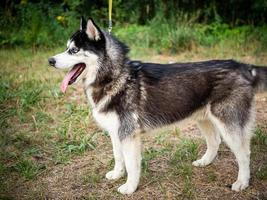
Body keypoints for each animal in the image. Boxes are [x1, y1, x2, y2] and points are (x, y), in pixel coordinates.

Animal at [48, 18, 267, 195]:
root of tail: (242, 66)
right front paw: (117, 174)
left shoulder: (128, 134)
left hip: (228, 123)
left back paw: (242, 182)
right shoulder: (115, 132)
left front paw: (129, 187)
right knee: (214, 141)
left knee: (244, 153)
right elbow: (118, 157)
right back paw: (205, 162)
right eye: (67, 48)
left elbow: (132, 164)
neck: (115, 77)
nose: (50, 60)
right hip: (204, 119)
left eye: (74, 50)